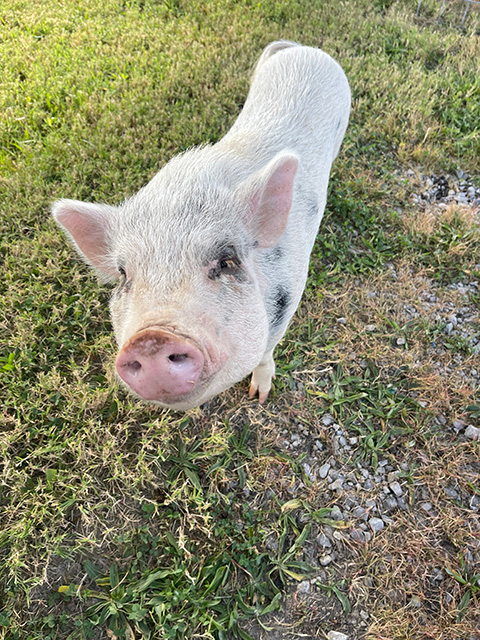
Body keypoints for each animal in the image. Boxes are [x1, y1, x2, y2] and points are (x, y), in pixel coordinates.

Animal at [52, 40, 350, 410]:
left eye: (227, 260)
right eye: (123, 275)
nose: (151, 339)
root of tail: (303, 48)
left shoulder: (288, 301)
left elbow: (266, 353)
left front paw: (259, 396)